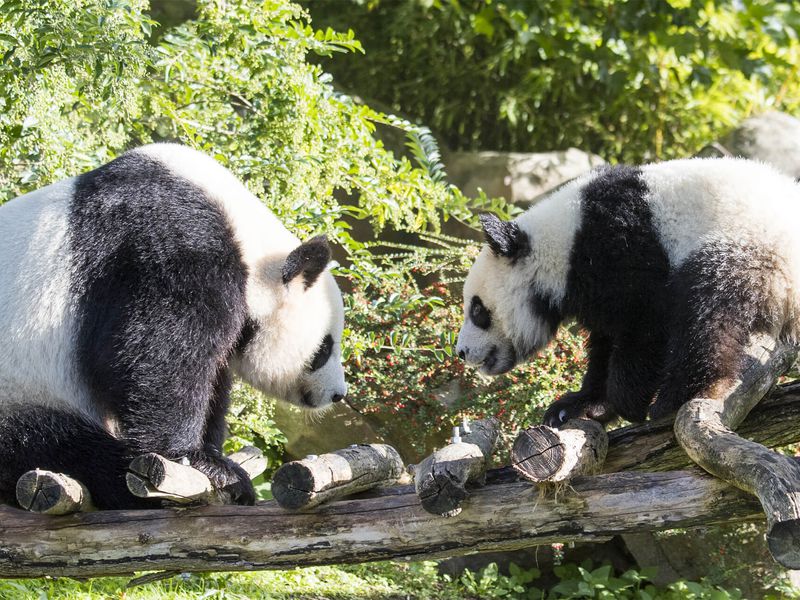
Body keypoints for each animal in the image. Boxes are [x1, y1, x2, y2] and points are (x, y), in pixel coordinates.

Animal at [0, 143, 346, 508]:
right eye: (324, 349)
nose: (337, 394)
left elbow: (211, 378)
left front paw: (213, 454)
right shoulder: (171, 244)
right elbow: (154, 356)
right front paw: (200, 462)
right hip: (22, 389)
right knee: (56, 444)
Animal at [456, 156, 800, 426]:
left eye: (477, 310)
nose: (462, 352)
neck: (565, 243)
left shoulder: (624, 249)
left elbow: (645, 327)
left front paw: (623, 402)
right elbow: (605, 341)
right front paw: (576, 406)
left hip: (749, 250)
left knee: (707, 313)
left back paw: (677, 397)